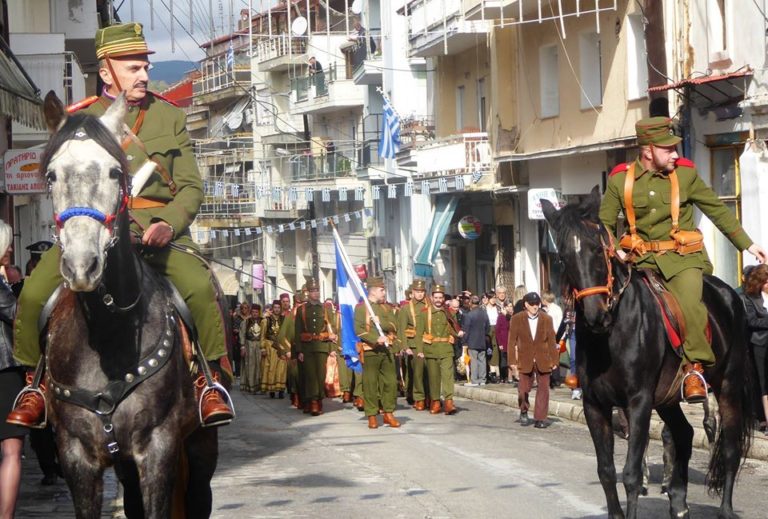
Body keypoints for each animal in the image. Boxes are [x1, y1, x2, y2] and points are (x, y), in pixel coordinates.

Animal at [39, 91, 220, 516]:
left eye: (113, 173)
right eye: (52, 176)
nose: (82, 265)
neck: (108, 331)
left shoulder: (158, 447)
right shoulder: (76, 454)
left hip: (201, 444)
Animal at [544, 189, 752, 519]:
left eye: (596, 249)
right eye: (563, 257)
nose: (595, 315)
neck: (612, 335)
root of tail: (730, 294)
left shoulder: (638, 401)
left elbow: (630, 474)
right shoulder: (595, 405)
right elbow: (606, 471)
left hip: (727, 386)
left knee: (730, 447)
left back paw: (725, 509)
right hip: (667, 398)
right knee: (683, 434)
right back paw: (678, 501)